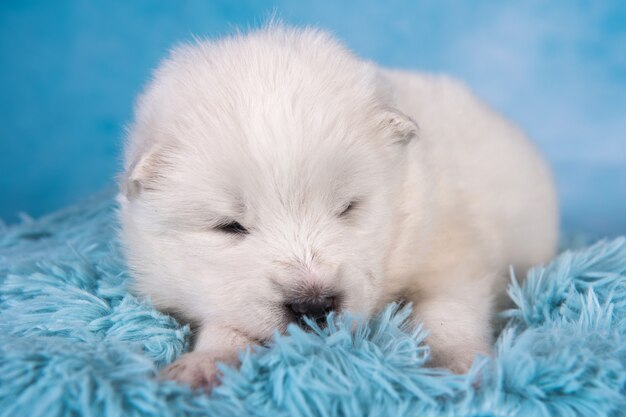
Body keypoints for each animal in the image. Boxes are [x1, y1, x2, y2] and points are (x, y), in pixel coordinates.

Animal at [117, 27, 556, 388]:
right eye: (230, 226)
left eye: (347, 206)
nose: (314, 305)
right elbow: (228, 322)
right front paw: (203, 363)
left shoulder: (451, 248)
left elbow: (448, 309)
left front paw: (463, 365)